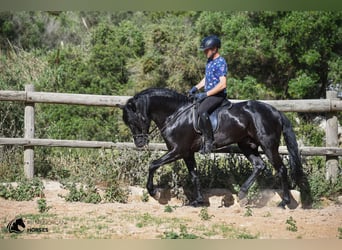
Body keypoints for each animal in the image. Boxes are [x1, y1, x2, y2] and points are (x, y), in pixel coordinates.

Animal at [121, 88, 312, 209]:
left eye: (136, 120)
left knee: (281, 169)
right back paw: (242, 194)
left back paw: (284, 202)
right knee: (259, 165)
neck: (176, 114)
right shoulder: (187, 153)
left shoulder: (178, 151)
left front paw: (153, 191)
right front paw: (198, 201)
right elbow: (194, 175)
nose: (139, 143)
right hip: (247, 145)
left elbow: (153, 164)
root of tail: (276, 111)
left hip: (268, 145)